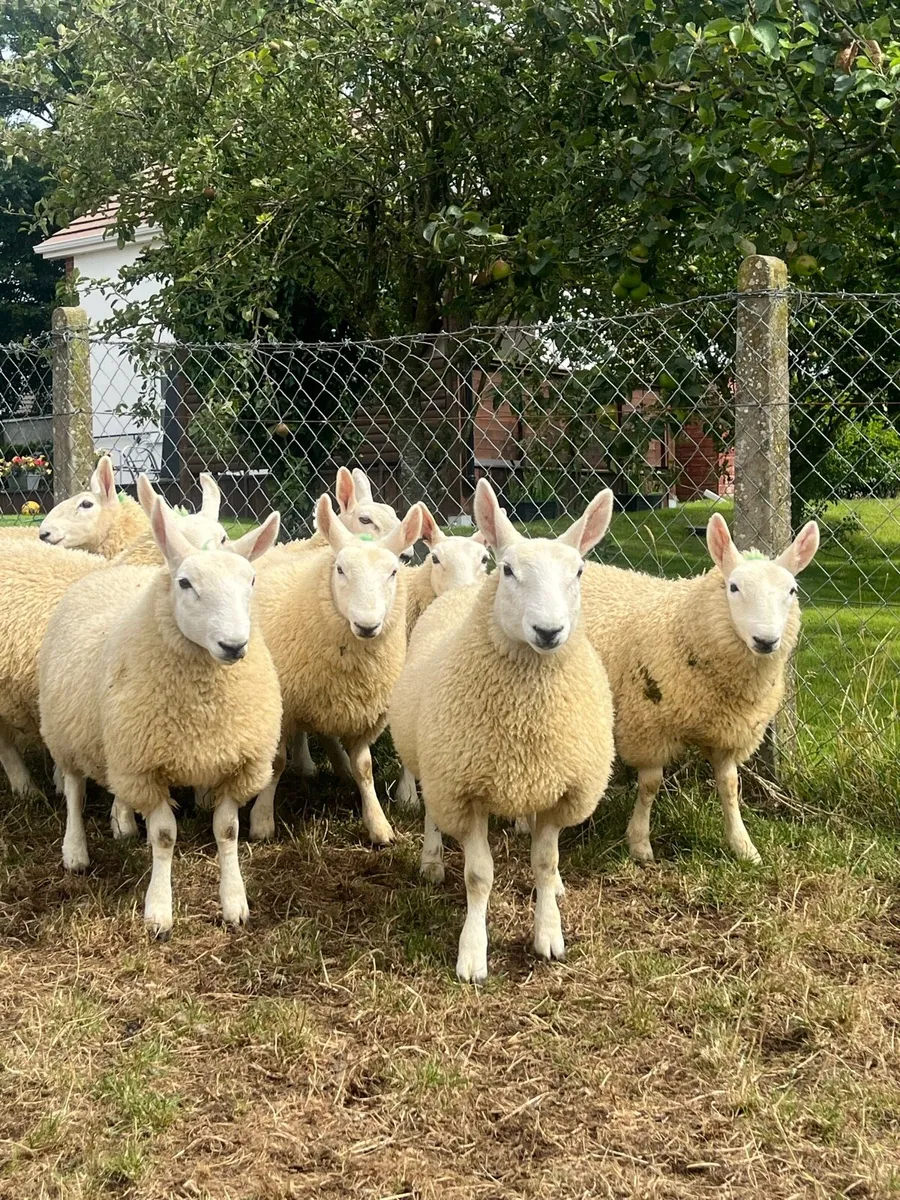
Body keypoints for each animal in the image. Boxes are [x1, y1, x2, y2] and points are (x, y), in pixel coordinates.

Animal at [38, 499, 282, 936]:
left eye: (252, 580)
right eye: (185, 583)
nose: (234, 645)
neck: (205, 703)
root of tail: (114, 570)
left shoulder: (236, 764)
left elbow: (228, 831)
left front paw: (234, 903)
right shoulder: (145, 766)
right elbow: (165, 837)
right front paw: (158, 911)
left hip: (116, 740)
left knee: (112, 783)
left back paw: (121, 821)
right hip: (66, 731)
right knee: (75, 791)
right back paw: (76, 851)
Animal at [248, 495, 423, 846]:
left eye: (393, 572)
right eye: (340, 569)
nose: (367, 625)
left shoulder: (363, 713)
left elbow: (365, 768)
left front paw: (378, 823)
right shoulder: (285, 707)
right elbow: (277, 762)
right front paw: (262, 820)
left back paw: (337, 764)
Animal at [389, 479, 616, 982]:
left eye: (579, 570)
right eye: (509, 570)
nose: (549, 631)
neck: (525, 716)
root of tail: (461, 593)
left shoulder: (561, 789)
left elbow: (545, 862)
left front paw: (549, 932)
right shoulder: (464, 789)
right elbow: (479, 876)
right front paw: (472, 953)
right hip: (436, 762)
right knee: (433, 813)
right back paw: (431, 859)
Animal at [579, 512, 820, 865]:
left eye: (792, 590)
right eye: (734, 587)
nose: (766, 641)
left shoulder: (728, 732)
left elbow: (730, 786)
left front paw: (743, 846)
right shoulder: (649, 726)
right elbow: (650, 785)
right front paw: (640, 843)